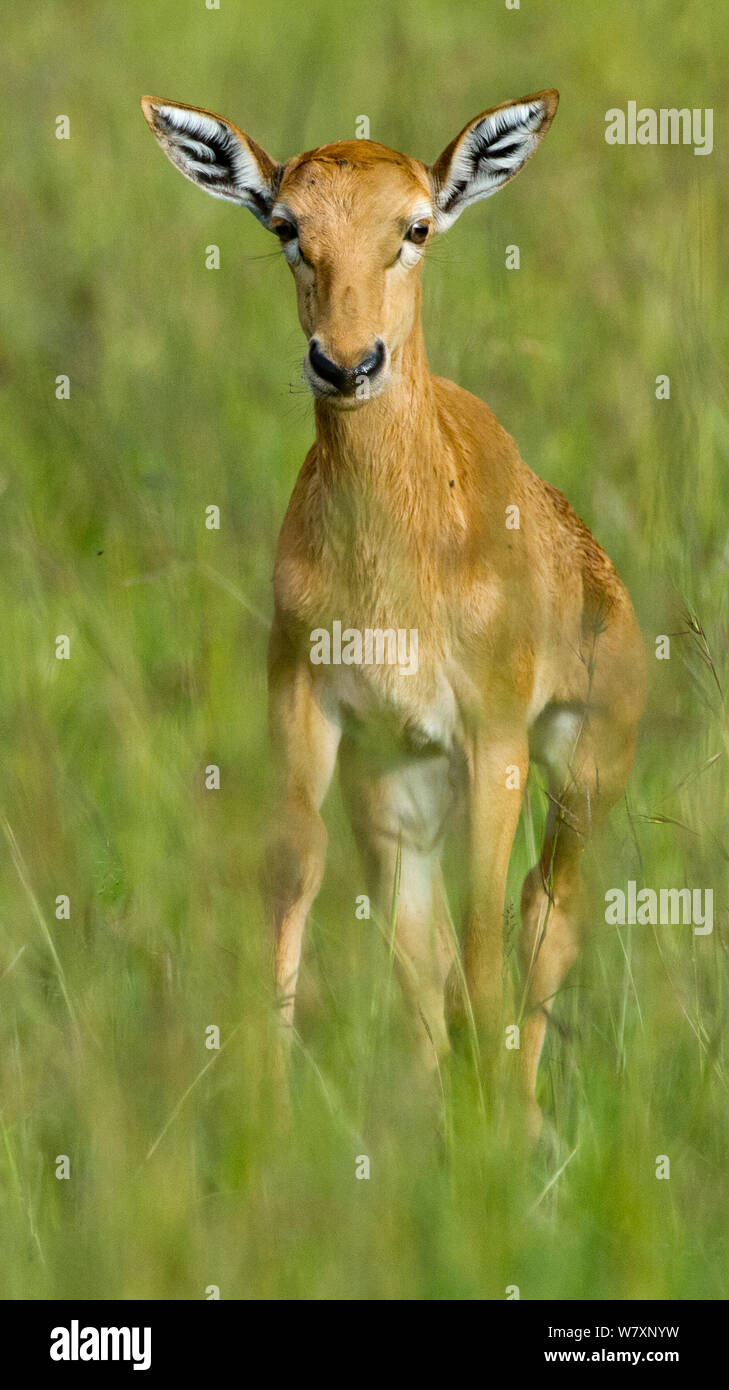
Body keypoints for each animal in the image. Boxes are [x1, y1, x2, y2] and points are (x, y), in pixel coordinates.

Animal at [141, 95, 642, 1139]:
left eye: (414, 227)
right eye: (286, 225)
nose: (344, 364)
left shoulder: (495, 738)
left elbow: (495, 925)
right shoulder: (311, 705)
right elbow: (295, 870)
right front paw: (269, 1110)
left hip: (580, 768)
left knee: (542, 908)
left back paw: (521, 1112)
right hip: (400, 787)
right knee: (427, 939)